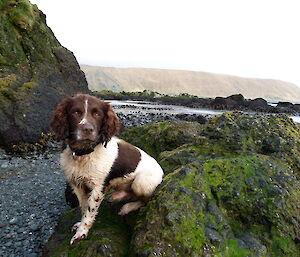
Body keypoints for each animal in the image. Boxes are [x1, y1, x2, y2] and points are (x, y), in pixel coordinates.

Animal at [51, 93, 164, 243]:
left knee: (145, 200)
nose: (87, 129)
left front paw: (81, 232)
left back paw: (127, 207)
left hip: (142, 183)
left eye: (97, 114)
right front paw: (80, 225)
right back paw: (118, 195)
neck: (84, 153)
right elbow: (83, 207)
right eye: (75, 112)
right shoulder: (77, 184)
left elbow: (89, 211)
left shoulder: (98, 188)